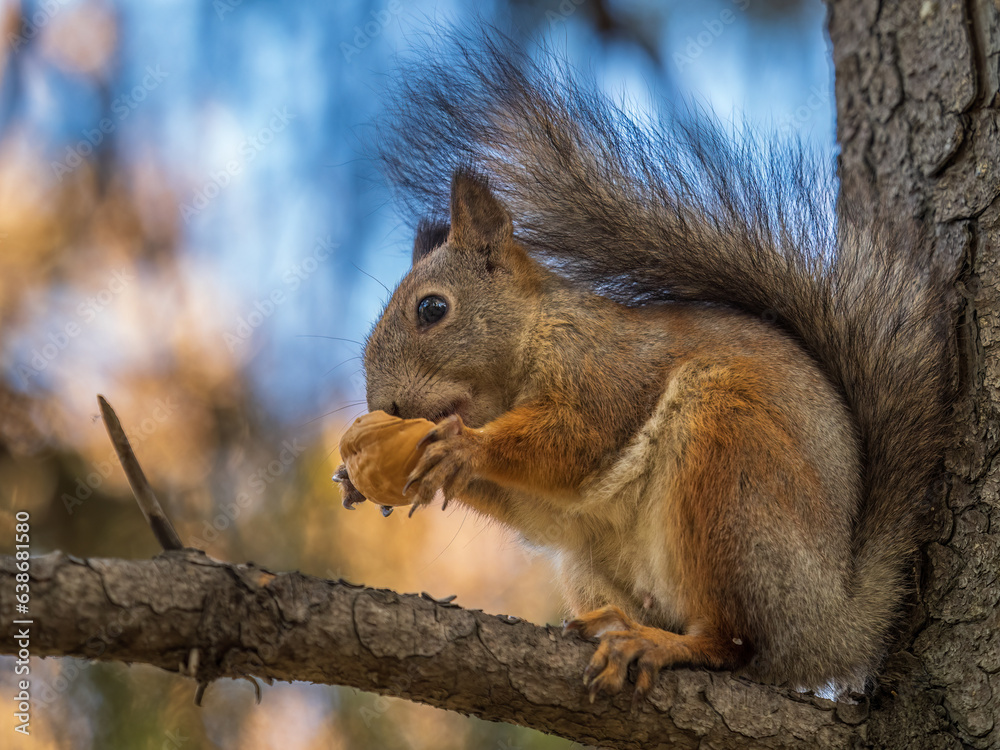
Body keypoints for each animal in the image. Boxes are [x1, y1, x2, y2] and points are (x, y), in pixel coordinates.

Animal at [335, 29, 953, 700]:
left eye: (432, 309)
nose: (387, 407)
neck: (533, 337)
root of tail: (832, 624)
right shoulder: (550, 506)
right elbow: (534, 505)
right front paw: (369, 479)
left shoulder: (607, 369)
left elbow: (576, 439)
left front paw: (462, 447)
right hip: (592, 559)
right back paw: (614, 624)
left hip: (730, 470)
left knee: (734, 643)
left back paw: (659, 643)